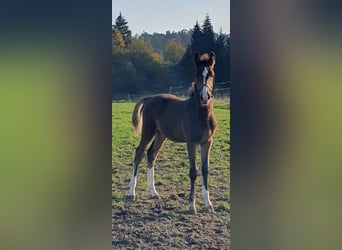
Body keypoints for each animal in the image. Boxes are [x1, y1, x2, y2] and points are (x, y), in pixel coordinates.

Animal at [128, 51, 216, 214]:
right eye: (196, 75)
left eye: (211, 74)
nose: (204, 97)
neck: (201, 115)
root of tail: (150, 98)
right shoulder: (191, 142)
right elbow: (193, 171)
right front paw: (191, 206)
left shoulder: (207, 142)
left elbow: (205, 169)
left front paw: (208, 203)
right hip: (148, 130)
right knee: (139, 153)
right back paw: (132, 192)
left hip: (161, 134)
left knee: (151, 154)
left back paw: (154, 192)